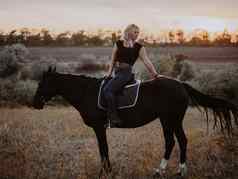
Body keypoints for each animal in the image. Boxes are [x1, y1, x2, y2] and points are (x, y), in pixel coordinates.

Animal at [32, 66, 237, 177]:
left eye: (42, 83)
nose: (35, 103)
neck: (85, 92)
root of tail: (181, 84)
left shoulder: (99, 128)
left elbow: (103, 150)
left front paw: (105, 172)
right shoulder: (100, 128)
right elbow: (103, 150)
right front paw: (107, 171)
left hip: (170, 119)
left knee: (176, 141)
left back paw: (168, 171)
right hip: (169, 120)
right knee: (176, 141)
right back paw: (172, 171)